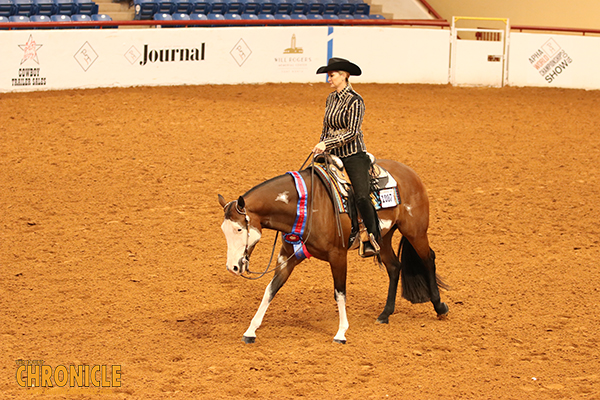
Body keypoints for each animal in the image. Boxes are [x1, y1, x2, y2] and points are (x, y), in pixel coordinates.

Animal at [218, 159, 448, 344]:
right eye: (224, 230)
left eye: (239, 229)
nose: (232, 267)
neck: (306, 205)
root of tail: (410, 173)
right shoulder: (287, 257)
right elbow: (270, 290)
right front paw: (250, 330)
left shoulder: (338, 256)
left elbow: (340, 293)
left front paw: (341, 333)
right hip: (383, 237)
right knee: (394, 267)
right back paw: (385, 314)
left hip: (415, 231)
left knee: (428, 259)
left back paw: (439, 308)